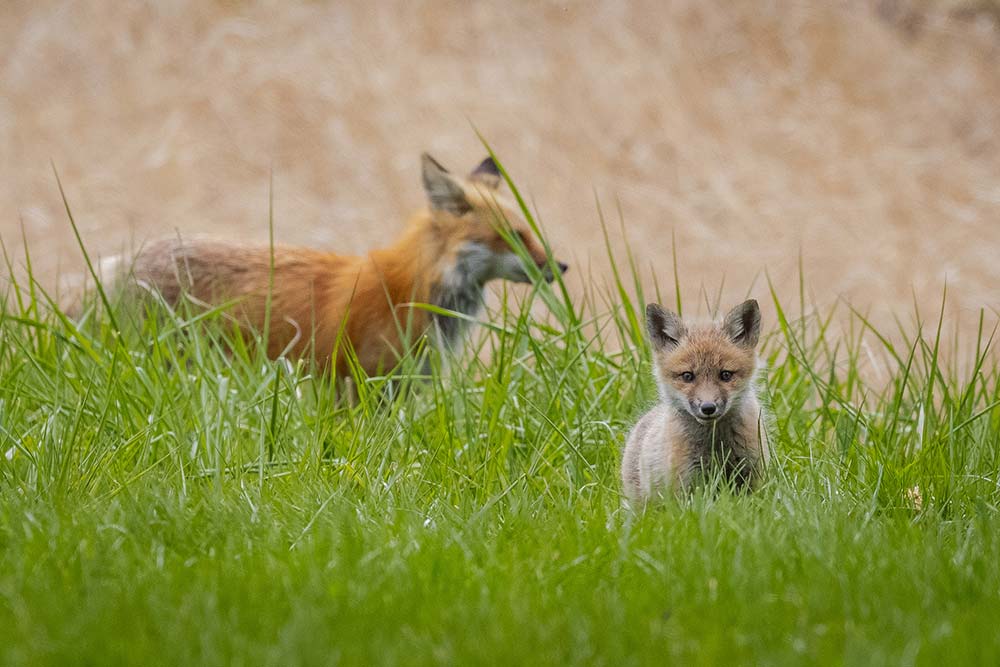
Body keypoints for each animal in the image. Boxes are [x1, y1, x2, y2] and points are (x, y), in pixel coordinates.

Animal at [88, 153, 567, 377]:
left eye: (529, 230)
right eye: (513, 236)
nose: (559, 266)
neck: (412, 291)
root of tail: (119, 263)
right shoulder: (354, 385)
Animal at [621, 299, 769, 503]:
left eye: (725, 375)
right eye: (687, 376)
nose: (708, 407)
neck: (715, 446)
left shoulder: (752, 474)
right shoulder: (685, 485)